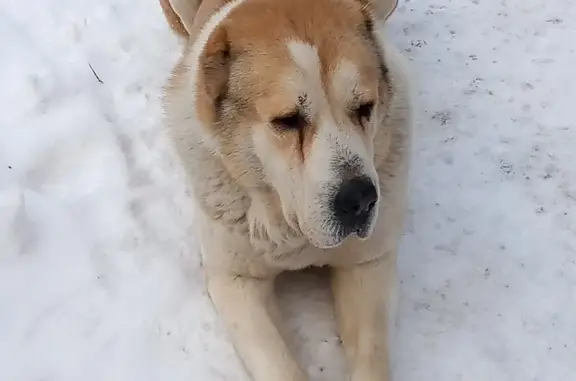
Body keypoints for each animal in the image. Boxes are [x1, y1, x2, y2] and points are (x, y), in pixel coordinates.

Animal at [159, 0, 414, 378]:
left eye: (365, 108)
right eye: (288, 120)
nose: (360, 200)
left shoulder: (368, 263)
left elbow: (372, 355)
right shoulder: (235, 280)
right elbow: (279, 364)